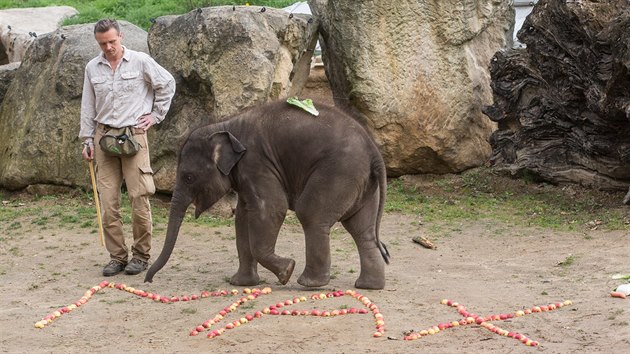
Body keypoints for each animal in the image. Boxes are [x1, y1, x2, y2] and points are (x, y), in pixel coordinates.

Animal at [145, 99, 390, 288]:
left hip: (339, 171)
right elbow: (243, 219)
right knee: (361, 229)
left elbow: (271, 208)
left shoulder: (256, 162)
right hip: (363, 182)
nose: (148, 280)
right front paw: (241, 283)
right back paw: (368, 286)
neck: (226, 125)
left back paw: (308, 283)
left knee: (311, 214)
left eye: (188, 177)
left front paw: (287, 271)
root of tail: (373, 151)